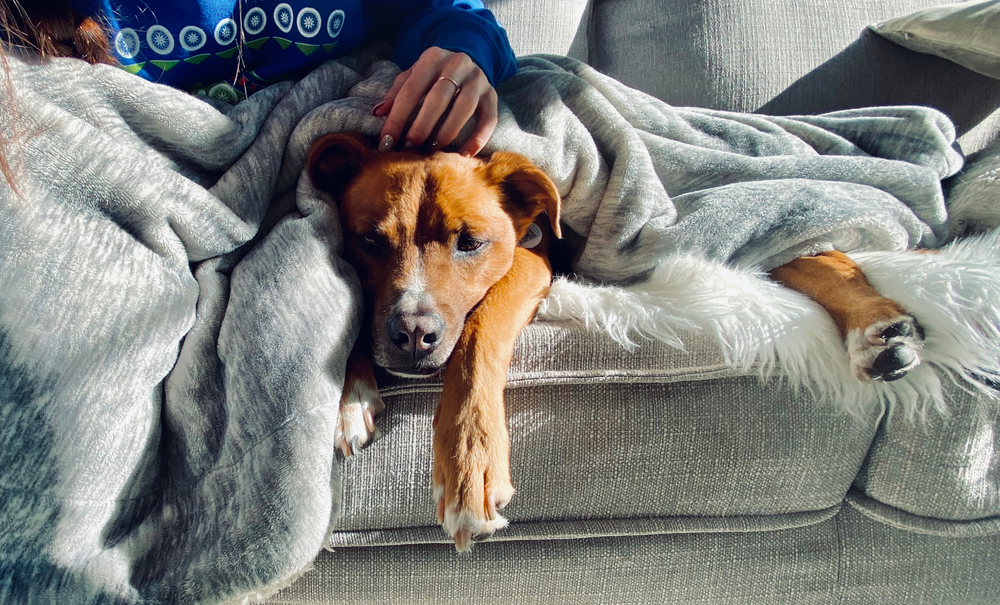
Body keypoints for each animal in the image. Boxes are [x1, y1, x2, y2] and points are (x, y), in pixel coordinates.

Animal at [308, 132, 924, 552]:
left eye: (471, 243)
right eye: (367, 241)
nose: (414, 335)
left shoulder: (531, 260)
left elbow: (477, 338)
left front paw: (469, 461)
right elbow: (359, 313)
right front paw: (350, 395)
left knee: (811, 246)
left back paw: (878, 327)